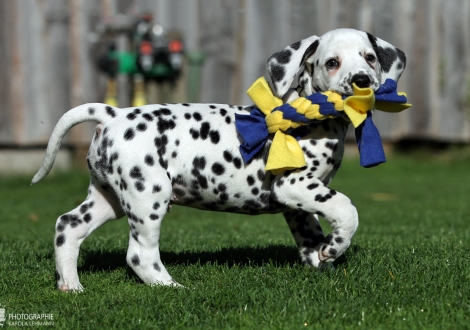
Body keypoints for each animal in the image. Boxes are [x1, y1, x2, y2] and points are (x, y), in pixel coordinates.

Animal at [31, 29, 406, 292]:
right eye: (332, 62)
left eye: (370, 58)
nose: (362, 81)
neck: (314, 116)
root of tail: (113, 114)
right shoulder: (294, 184)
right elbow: (346, 208)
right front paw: (336, 245)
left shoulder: (299, 202)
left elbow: (310, 235)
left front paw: (322, 258)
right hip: (147, 197)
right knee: (140, 255)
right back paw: (173, 288)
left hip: (108, 198)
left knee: (68, 226)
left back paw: (71, 286)